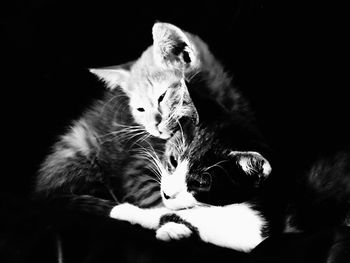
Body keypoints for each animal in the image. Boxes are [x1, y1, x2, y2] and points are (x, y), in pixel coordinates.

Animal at [36, 22, 200, 214]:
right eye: (140, 109)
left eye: (162, 97)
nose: (155, 125)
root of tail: (41, 193)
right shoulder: (137, 168)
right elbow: (157, 199)